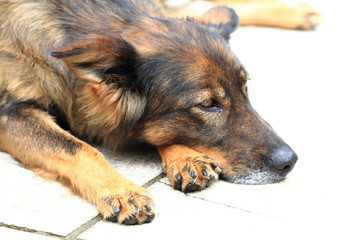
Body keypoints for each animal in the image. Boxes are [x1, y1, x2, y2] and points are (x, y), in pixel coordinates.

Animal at [0, 0, 296, 225]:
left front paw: (185, 157)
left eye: (245, 89)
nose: (290, 161)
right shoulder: (11, 113)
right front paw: (121, 190)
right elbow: (77, 147)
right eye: (208, 104)